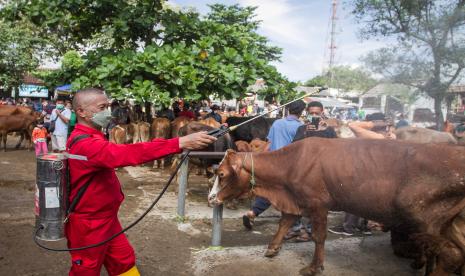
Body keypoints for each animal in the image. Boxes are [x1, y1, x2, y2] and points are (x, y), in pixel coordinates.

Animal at [208, 138, 464, 276]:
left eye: (221, 174)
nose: (211, 199)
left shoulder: (318, 204)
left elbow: (319, 237)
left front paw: (314, 267)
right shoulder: (296, 199)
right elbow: (284, 223)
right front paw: (272, 248)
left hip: (423, 217)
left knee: (450, 254)